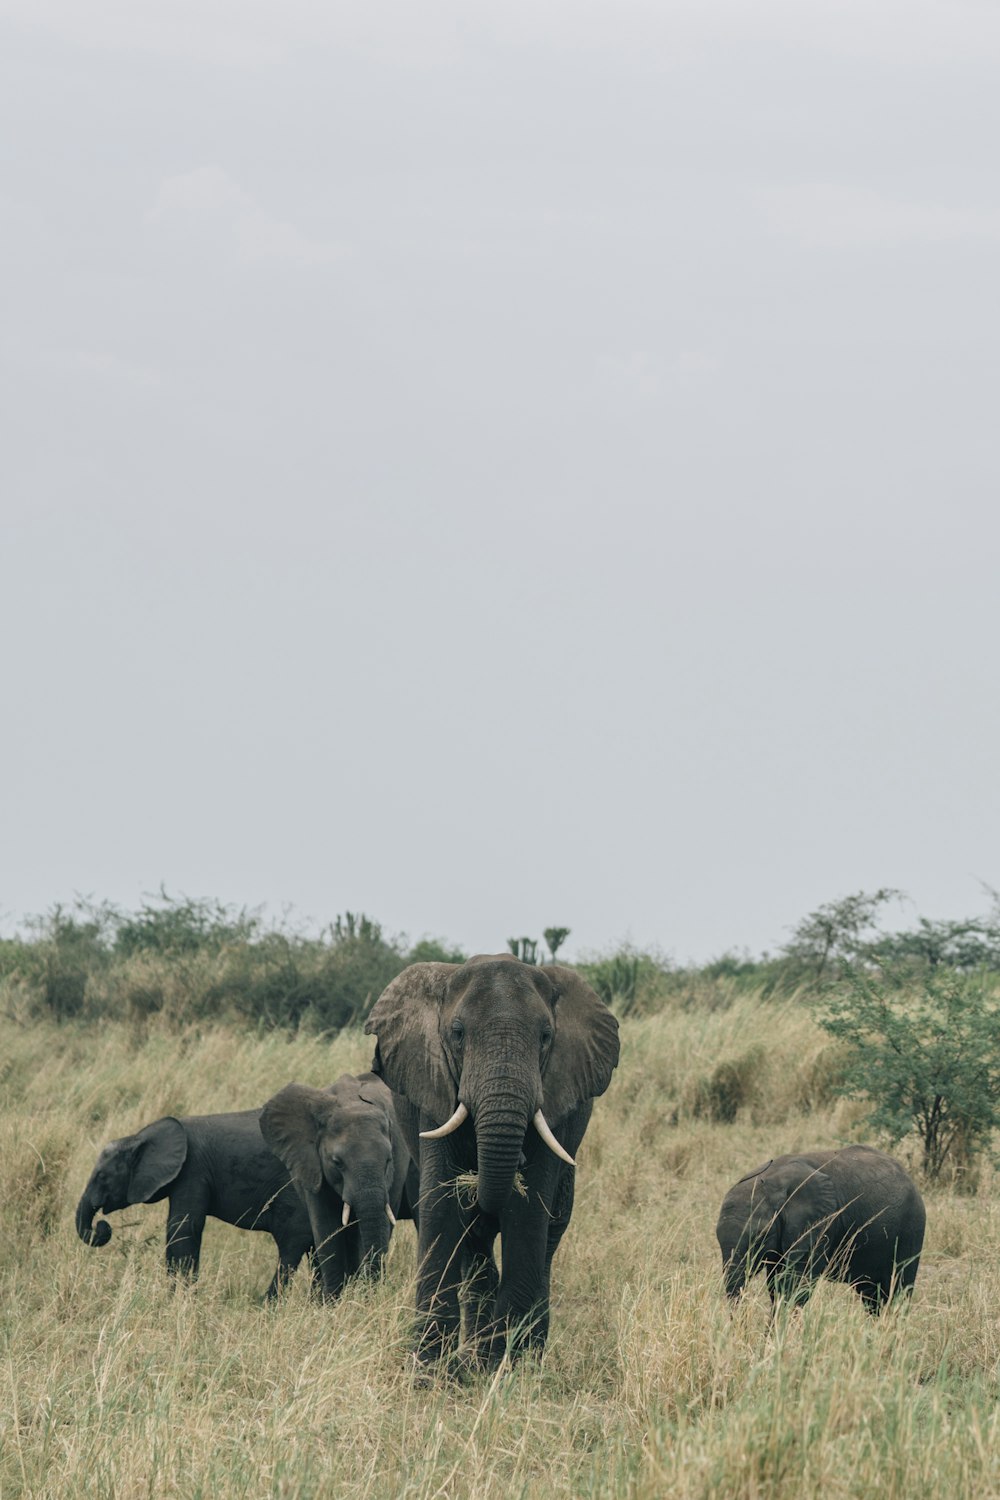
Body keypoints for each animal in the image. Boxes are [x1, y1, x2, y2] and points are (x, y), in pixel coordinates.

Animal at [75, 1110, 314, 1296]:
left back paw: (268, 1304)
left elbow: (183, 1227)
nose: (102, 1227)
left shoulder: (192, 1170)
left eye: (102, 1177)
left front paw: (178, 1299)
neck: (139, 1137)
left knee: (291, 1245)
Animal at [364, 960, 620, 1374]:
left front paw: (503, 1370)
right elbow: (441, 1208)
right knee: (475, 1246)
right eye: (457, 1033)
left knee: (547, 1242)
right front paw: (430, 1374)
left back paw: (520, 1355)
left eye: (546, 1036)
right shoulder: (434, 1091)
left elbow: (527, 1212)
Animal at [716, 1146, 929, 1314]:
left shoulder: (820, 1223)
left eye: (760, 1237)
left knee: (898, 1290)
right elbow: (776, 1284)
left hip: (912, 1226)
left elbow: (796, 1284)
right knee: (871, 1296)